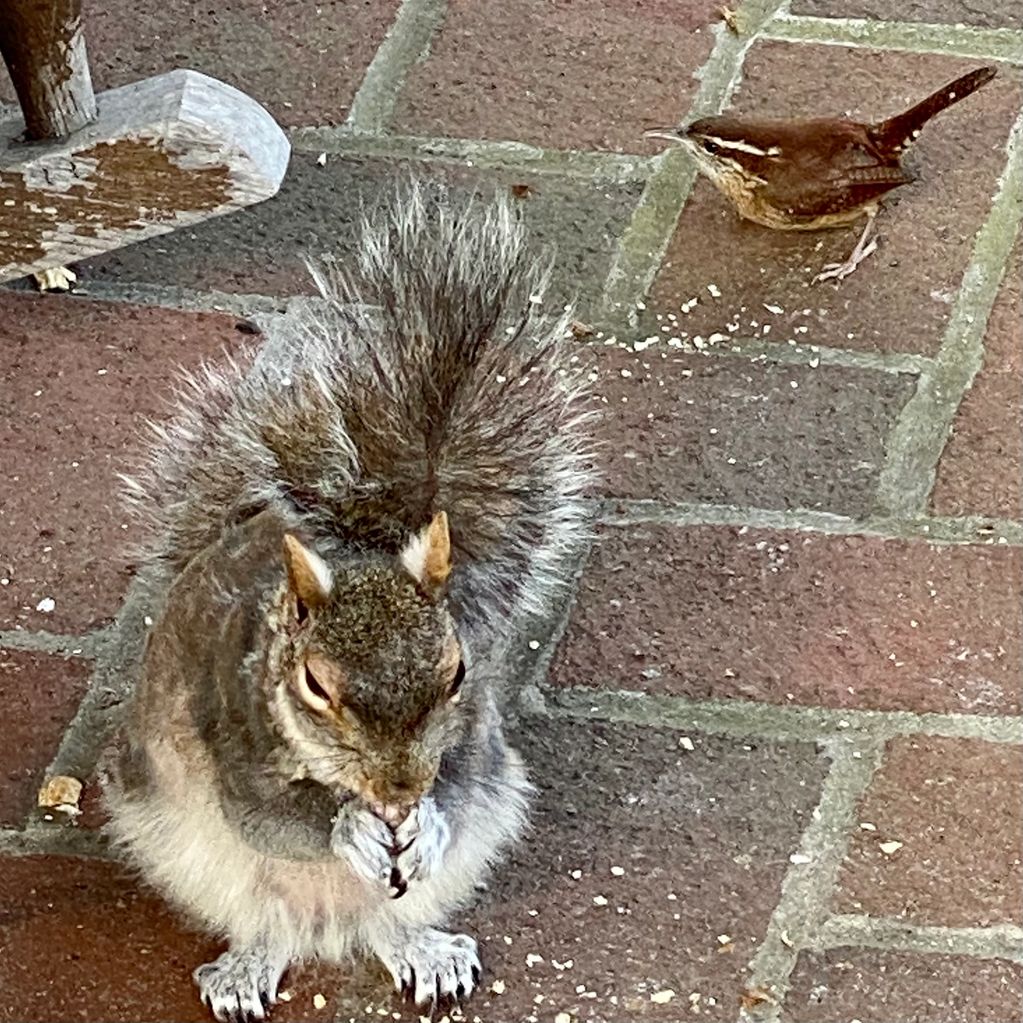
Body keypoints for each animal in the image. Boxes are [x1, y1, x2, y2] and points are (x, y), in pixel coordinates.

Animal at [99, 184, 597, 1023]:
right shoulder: (231, 738)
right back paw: (249, 967)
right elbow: (274, 820)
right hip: (194, 847)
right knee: (270, 917)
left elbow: (457, 786)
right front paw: (348, 831)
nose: (398, 792)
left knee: (389, 918)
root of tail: (328, 921)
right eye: (314, 683)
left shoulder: (473, 741)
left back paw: (424, 949)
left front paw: (426, 821)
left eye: (458, 671)